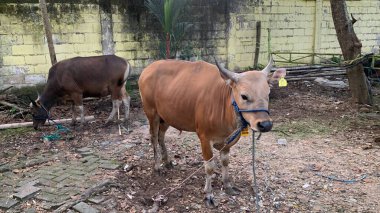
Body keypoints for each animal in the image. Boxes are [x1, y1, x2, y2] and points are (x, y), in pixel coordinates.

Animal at [137, 57, 284, 207]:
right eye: (244, 96)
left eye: (268, 94)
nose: (265, 124)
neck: (224, 106)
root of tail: (147, 70)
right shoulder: (204, 138)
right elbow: (209, 167)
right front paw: (208, 194)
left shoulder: (227, 141)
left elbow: (225, 162)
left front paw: (227, 185)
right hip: (152, 113)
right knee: (154, 137)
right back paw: (157, 167)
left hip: (166, 117)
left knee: (161, 136)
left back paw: (167, 161)